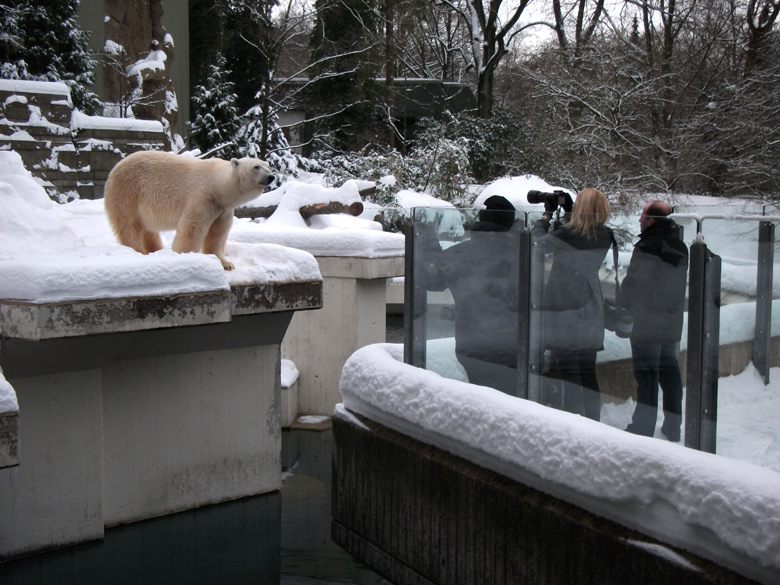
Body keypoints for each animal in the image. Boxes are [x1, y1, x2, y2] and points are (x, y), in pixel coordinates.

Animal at [103, 151, 274, 270]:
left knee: (148, 230)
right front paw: (186, 257)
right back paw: (138, 251)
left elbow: (218, 233)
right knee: (129, 226)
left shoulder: (222, 209)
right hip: (127, 193)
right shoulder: (202, 198)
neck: (217, 186)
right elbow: (191, 229)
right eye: (256, 166)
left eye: (268, 166)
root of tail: (114, 169)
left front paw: (226, 263)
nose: (271, 176)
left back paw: (156, 250)